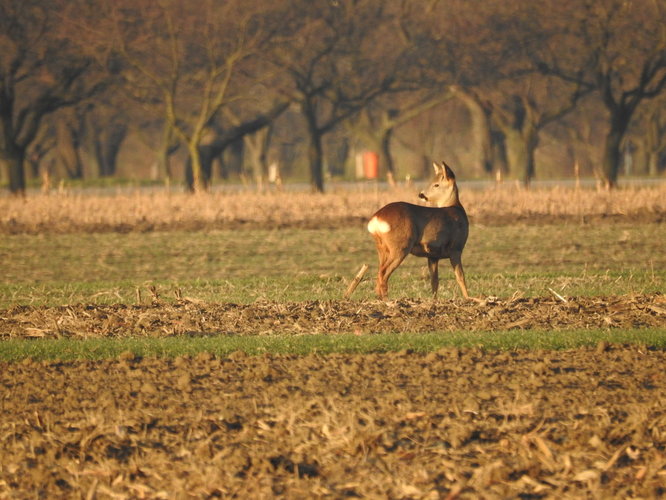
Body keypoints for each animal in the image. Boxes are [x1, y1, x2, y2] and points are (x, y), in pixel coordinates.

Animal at [366, 162, 470, 298]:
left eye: (436, 184)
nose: (421, 195)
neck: (457, 209)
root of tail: (376, 218)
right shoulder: (456, 248)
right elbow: (461, 277)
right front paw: (468, 298)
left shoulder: (432, 256)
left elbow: (434, 281)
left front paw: (434, 300)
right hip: (400, 246)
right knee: (383, 272)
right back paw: (386, 299)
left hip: (382, 248)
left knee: (380, 271)